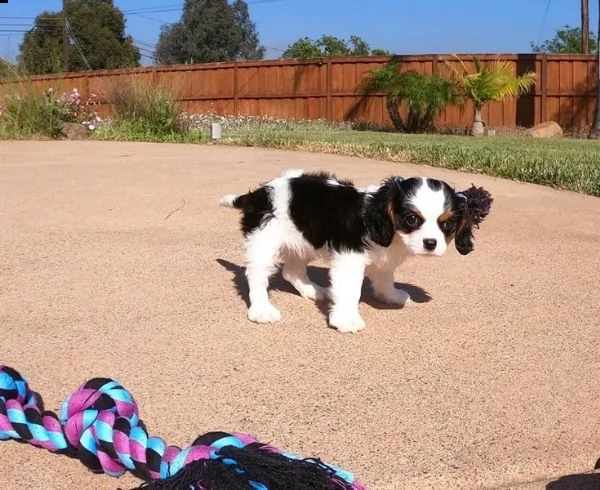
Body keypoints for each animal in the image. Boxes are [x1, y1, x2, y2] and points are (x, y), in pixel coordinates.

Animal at [220, 169, 488, 334]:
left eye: (447, 224)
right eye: (411, 219)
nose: (431, 243)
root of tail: (257, 193)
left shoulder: (382, 258)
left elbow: (384, 277)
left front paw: (390, 295)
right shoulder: (349, 258)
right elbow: (351, 290)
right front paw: (347, 319)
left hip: (305, 240)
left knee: (291, 272)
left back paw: (315, 291)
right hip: (264, 240)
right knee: (256, 274)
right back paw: (262, 310)